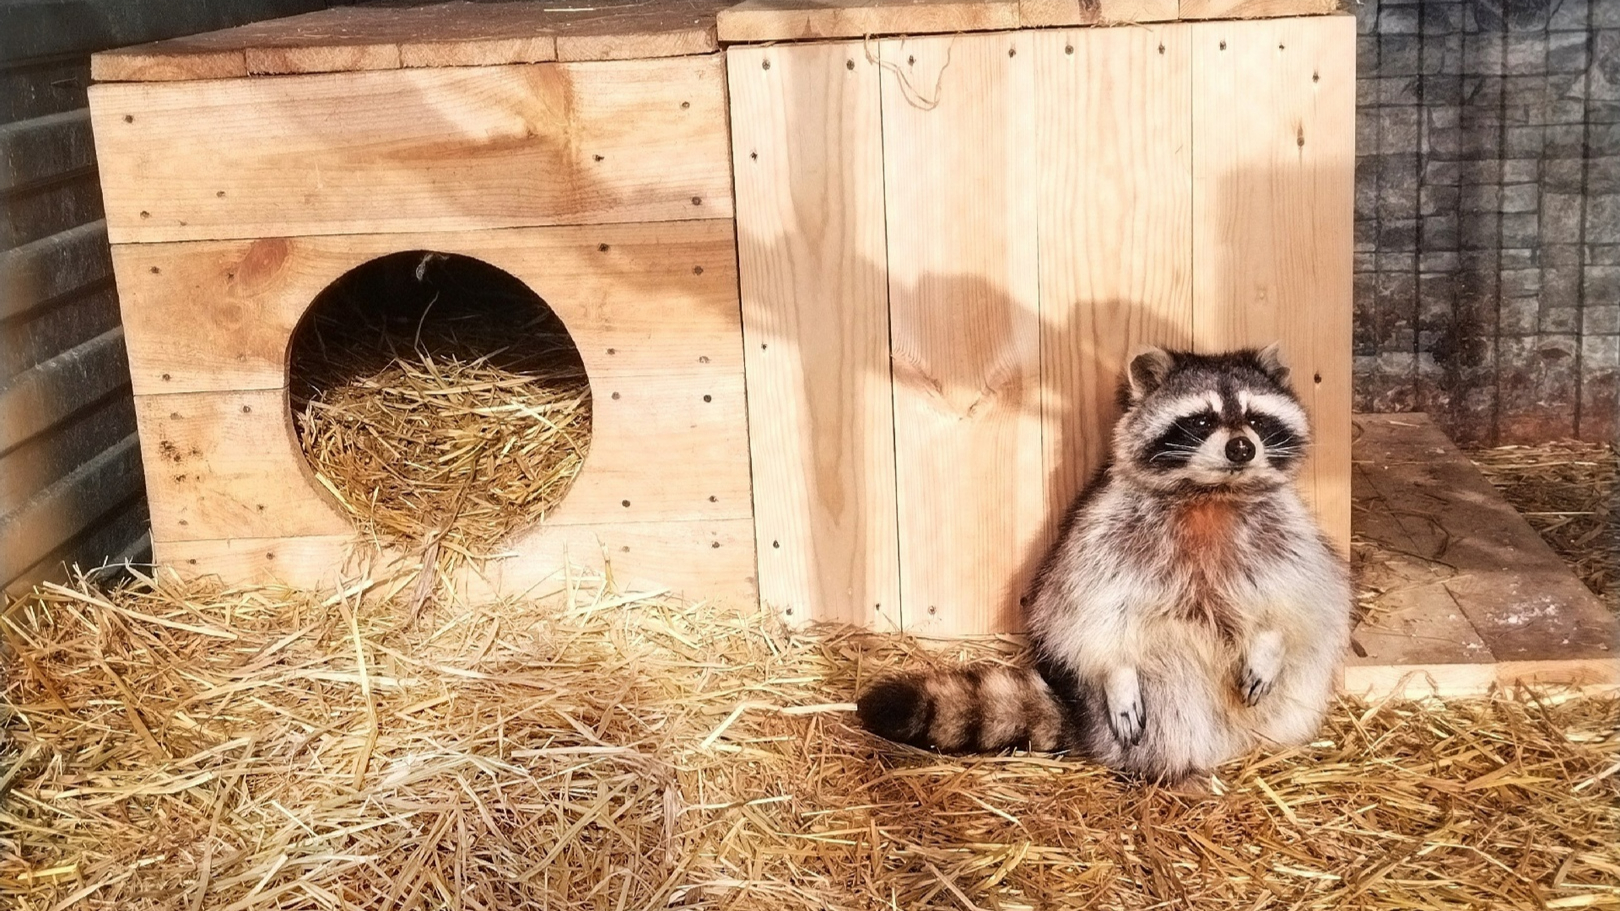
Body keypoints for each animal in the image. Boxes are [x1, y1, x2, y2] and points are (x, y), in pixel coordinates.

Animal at [861, 342, 1354, 781]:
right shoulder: (1101, 530)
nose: (1241, 448)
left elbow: (1306, 595)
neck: (1211, 496)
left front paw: (1270, 640)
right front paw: (1116, 673)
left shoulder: (1286, 527)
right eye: (1201, 420)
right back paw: (1170, 769)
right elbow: (1086, 613)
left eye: (1254, 418)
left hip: (1291, 695)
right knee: (1169, 676)